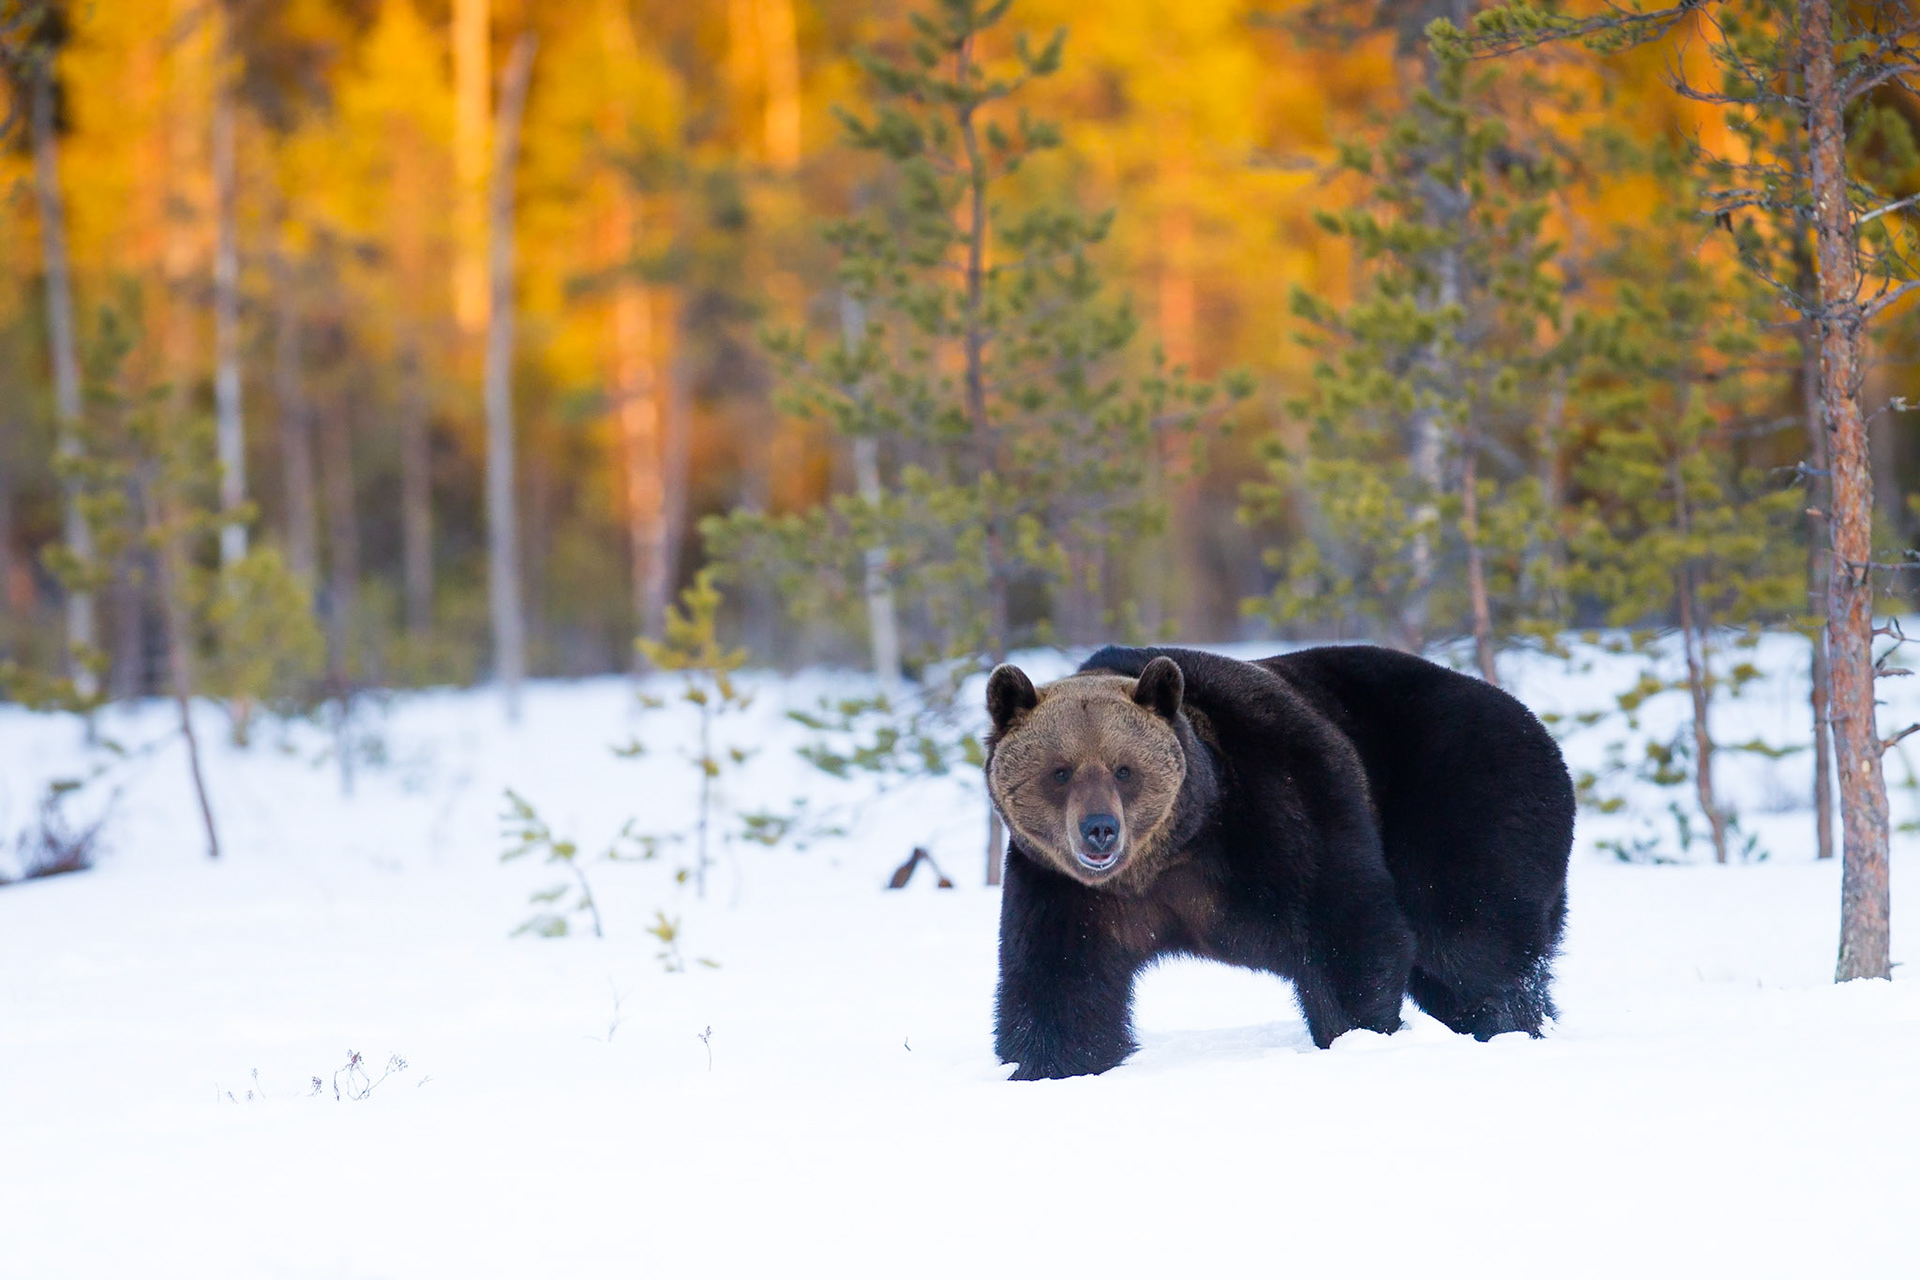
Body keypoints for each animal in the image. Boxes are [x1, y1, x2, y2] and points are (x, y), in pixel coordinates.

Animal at [984, 643, 1574, 1081]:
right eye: (1060, 771)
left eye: (1123, 769)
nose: (1100, 830)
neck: (1169, 854)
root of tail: (1535, 722)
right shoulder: (1063, 888)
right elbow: (1060, 984)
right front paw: (1053, 1066)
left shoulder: (1277, 812)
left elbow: (1349, 928)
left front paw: (1355, 1036)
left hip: (1465, 797)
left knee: (1473, 940)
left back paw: (1509, 1025)